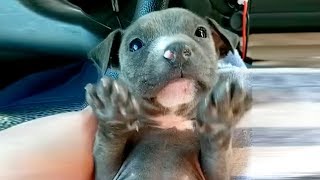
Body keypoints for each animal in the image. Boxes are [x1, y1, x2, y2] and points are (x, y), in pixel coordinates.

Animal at [85, 7, 252, 180]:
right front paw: (113, 112)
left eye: (201, 32)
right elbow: (108, 148)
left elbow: (216, 154)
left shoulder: (216, 172)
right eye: (135, 45)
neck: (170, 116)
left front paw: (218, 117)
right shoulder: (106, 174)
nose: (177, 50)